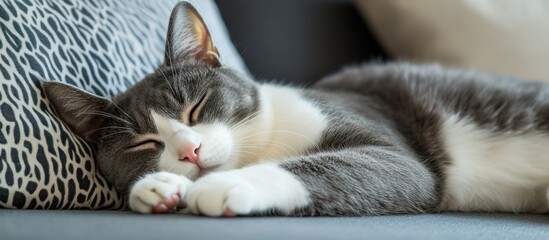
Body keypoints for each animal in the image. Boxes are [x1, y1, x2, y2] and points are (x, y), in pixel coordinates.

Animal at [44, 1, 548, 216]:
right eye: (142, 143)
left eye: (196, 108)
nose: (189, 152)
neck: (262, 145)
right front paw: (157, 188)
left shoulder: (388, 143)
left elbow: (363, 166)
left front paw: (223, 186)